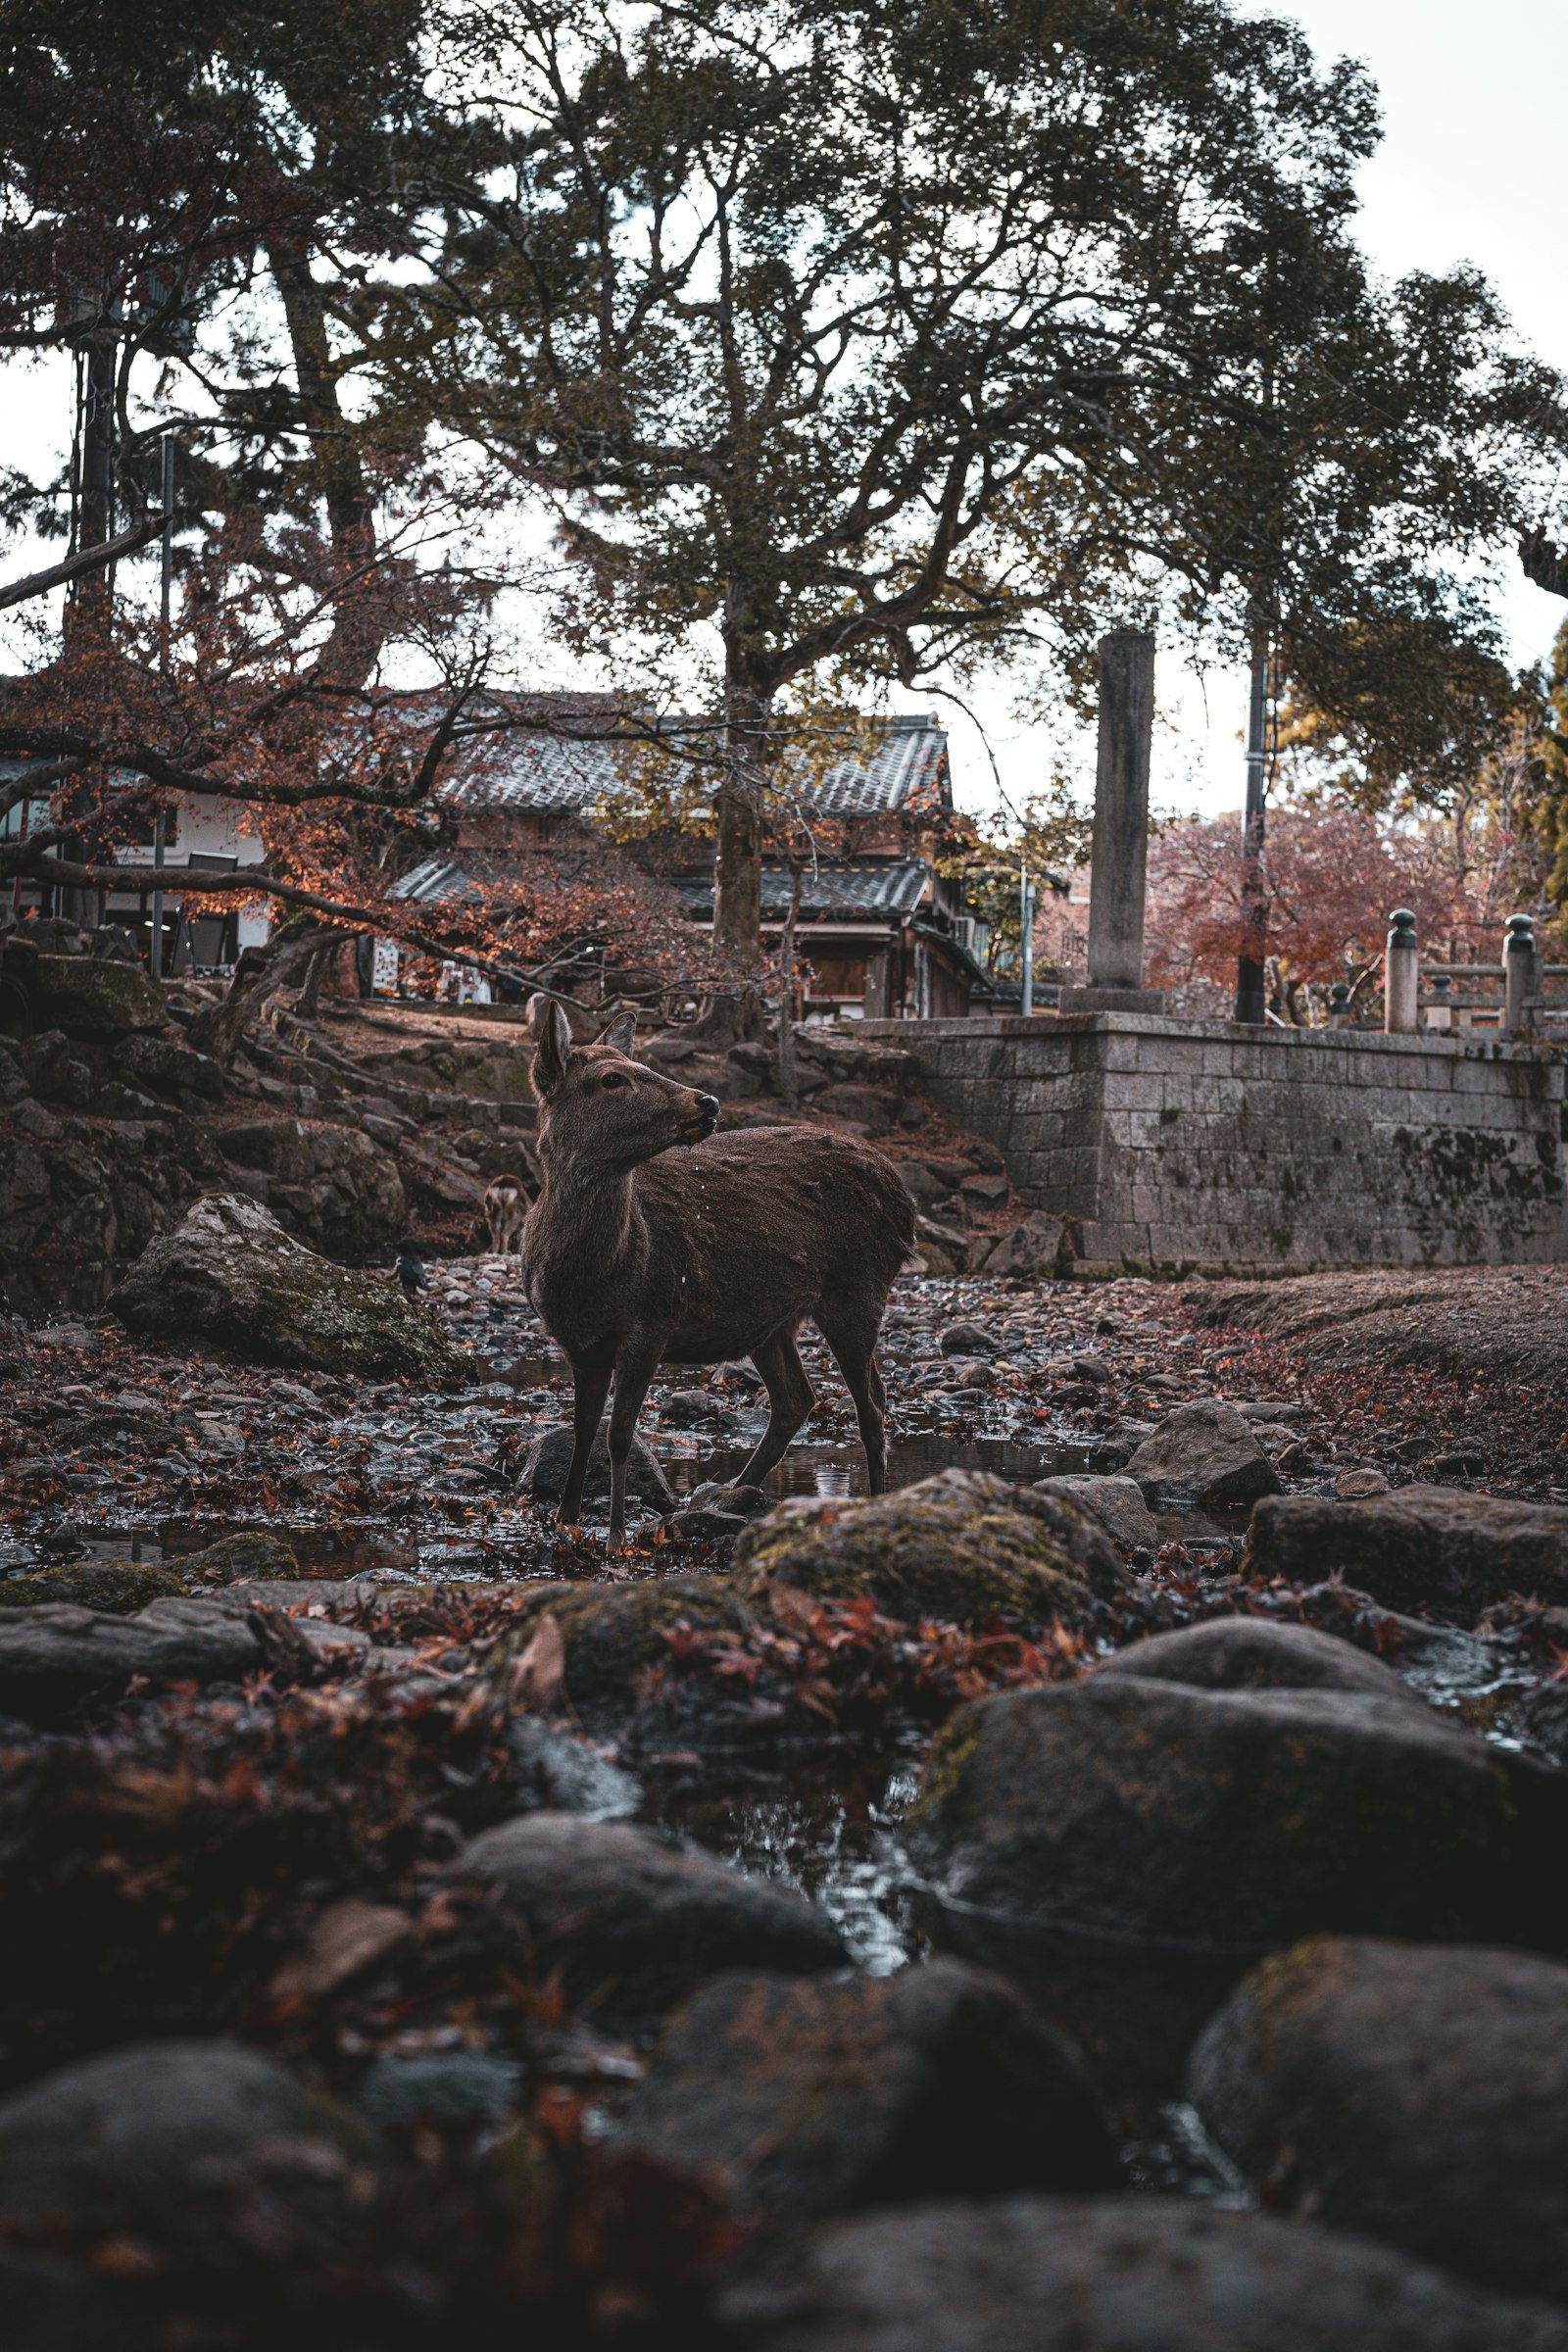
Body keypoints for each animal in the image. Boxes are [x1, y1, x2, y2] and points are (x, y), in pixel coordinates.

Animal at [522, 1001, 915, 1549]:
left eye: (639, 1064)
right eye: (612, 1078)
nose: (706, 1100)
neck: (588, 1281)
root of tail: (906, 1201)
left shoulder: (651, 1322)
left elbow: (619, 1435)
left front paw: (617, 1536)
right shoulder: (578, 1342)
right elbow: (583, 1429)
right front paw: (567, 1516)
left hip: (858, 1287)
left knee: (872, 1407)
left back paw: (873, 1502)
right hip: (771, 1321)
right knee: (798, 1398)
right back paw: (729, 1493)